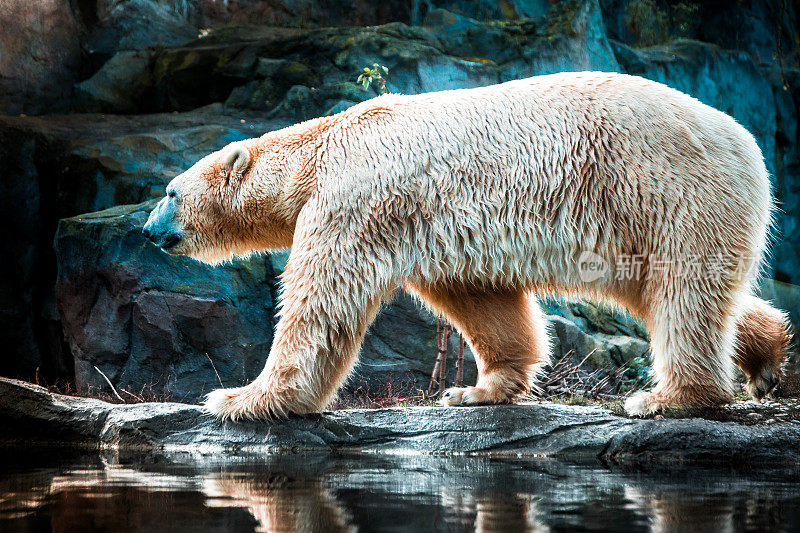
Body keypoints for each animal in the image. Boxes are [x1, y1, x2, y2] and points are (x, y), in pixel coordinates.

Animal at [142, 71, 788, 420]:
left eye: (170, 192)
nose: (148, 229)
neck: (322, 148)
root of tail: (746, 141)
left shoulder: (352, 201)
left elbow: (322, 304)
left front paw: (239, 398)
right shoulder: (427, 225)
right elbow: (480, 297)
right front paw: (477, 389)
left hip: (663, 185)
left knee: (683, 288)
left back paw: (668, 397)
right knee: (670, 289)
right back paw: (766, 354)